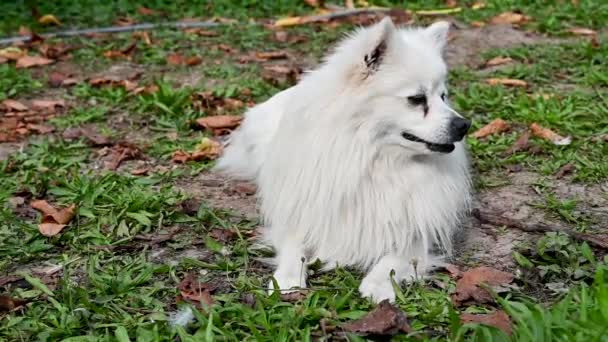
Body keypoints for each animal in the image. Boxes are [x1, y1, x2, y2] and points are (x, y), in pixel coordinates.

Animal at [216, 18, 472, 302]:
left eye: (443, 96)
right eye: (417, 99)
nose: (464, 125)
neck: (374, 159)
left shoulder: (415, 229)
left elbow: (394, 258)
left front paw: (378, 284)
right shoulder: (303, 210)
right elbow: (295, 245)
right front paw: (287, 278)